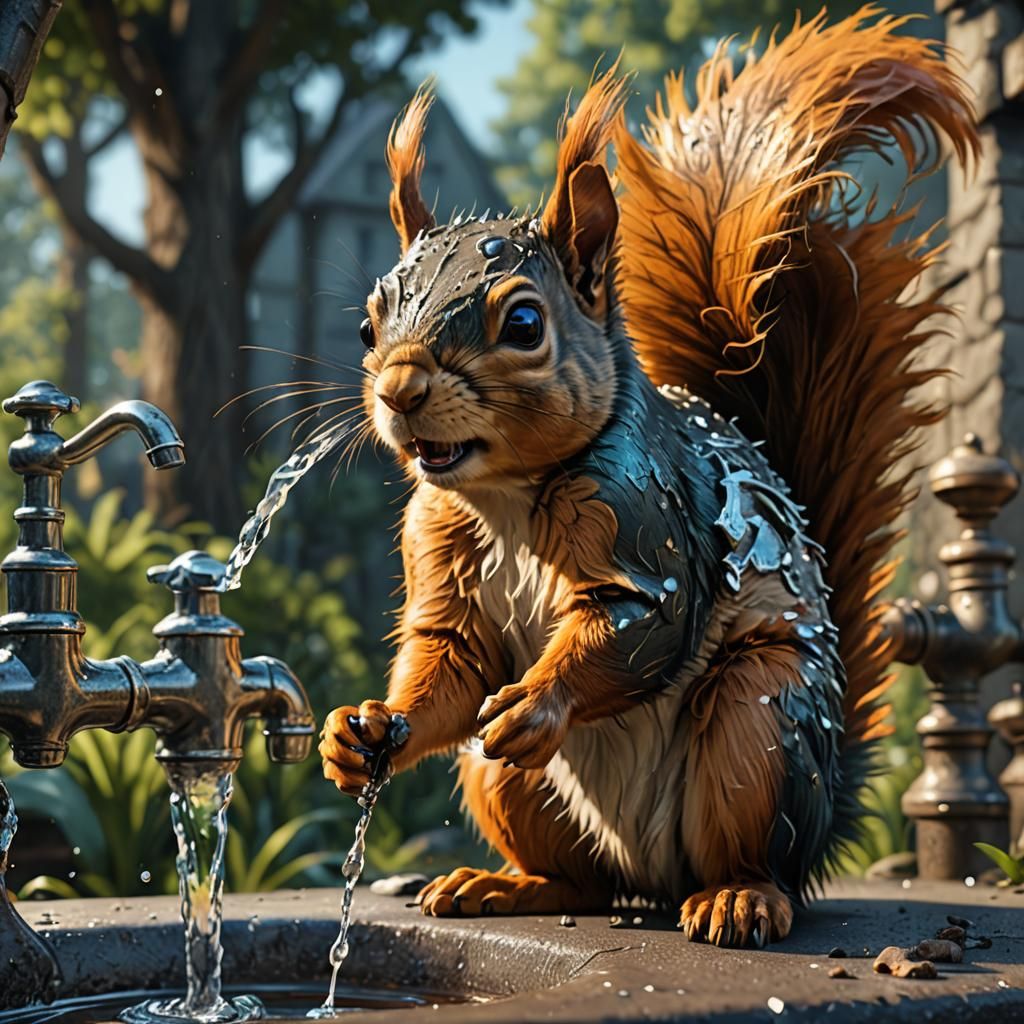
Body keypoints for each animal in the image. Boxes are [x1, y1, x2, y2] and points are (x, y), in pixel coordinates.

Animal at [319, 7, 978, 947]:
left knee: (745, 852)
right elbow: (448, 659)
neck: (507, 494)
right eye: (369, 323)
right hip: (508, 783)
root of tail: (655, 877)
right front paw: (360, 730)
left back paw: (740, 899)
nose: (399, 390)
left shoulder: (647, 519)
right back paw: (503, 885)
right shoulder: (436, 541)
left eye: (525, 324)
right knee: (581, 880)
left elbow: (644, 623)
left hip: (759, 733)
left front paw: (538, 704)